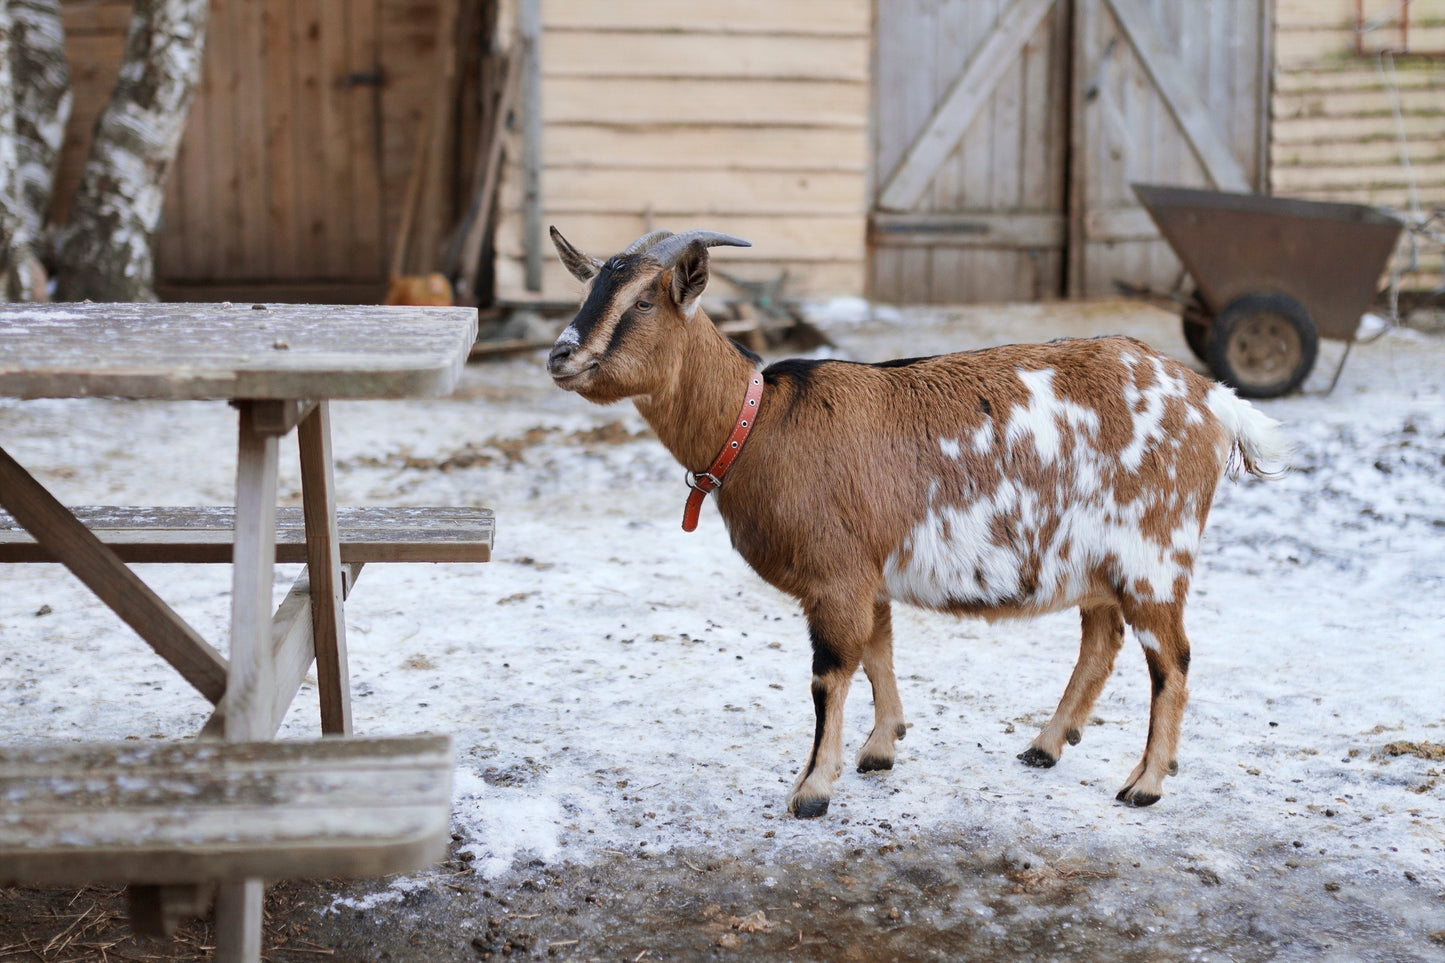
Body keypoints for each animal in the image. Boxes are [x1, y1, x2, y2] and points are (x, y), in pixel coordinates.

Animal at [545, 227, 1287, 818]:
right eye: (590, 291)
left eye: (643, 301)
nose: (560, 355)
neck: (757, 422)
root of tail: (1212, 399)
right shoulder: (867, 572)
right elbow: (879, 651)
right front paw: (880, 749)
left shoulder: (836, 574)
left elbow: (830, 673)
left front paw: (811, 788)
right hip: (1097, 558)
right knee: (1101, 640)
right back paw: (1046, 745)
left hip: (1153, 553)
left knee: (1171, 658)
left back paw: (1144, 783)